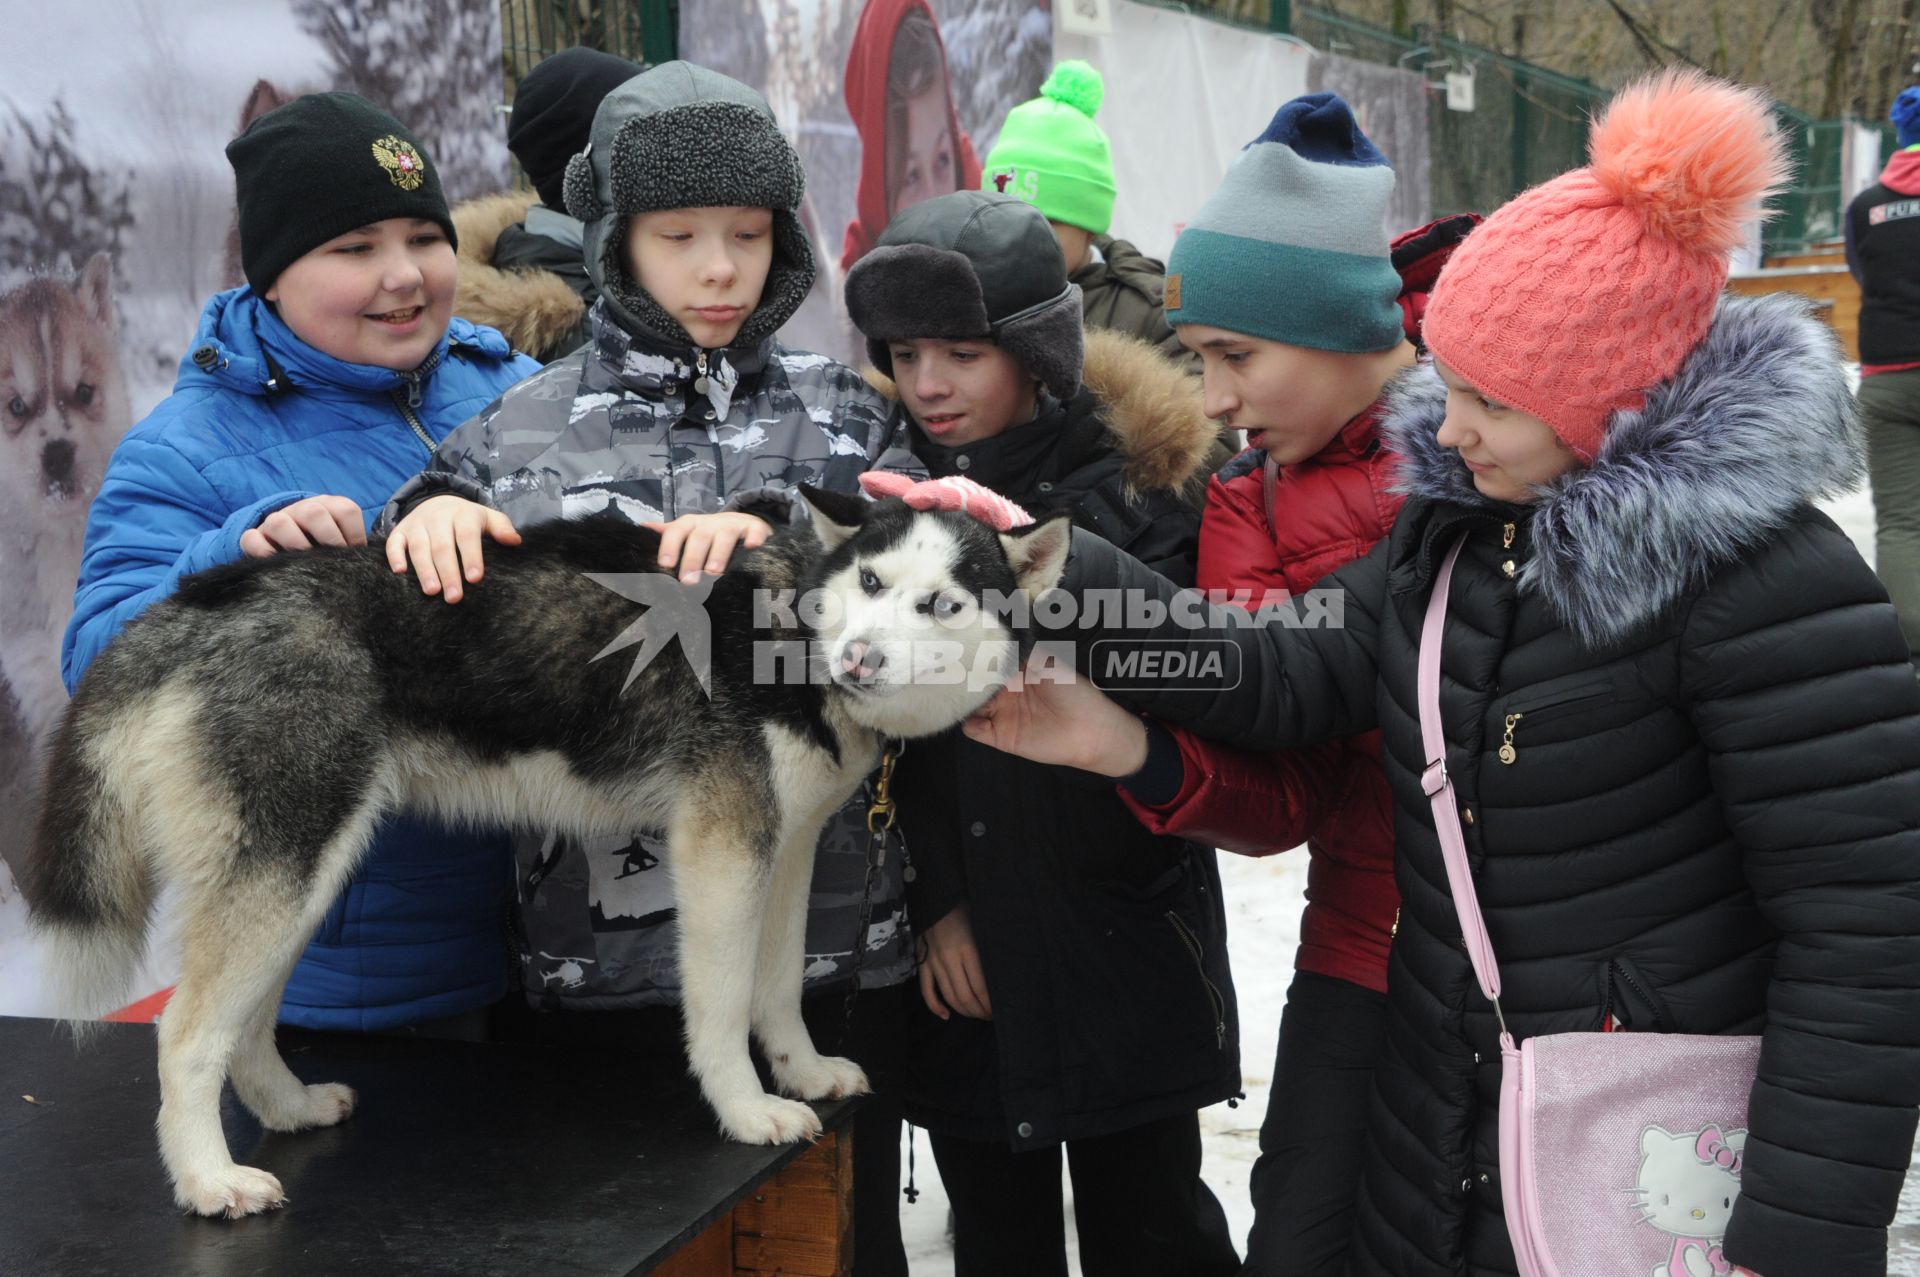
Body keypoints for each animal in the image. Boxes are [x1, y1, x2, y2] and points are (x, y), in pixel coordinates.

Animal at [26, 485, 1067, 1213]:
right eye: (872, 585)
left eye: (940, 603)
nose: (859, 659)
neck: (789, 634)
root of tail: (194, 601)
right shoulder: (722, 850)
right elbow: (723, 1004)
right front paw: (745, 1110)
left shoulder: (788, 848)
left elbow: (776, 989)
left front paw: (803, 1071)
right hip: (288, 868)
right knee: (185, 1034)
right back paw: (210, 1178)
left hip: (304, 878)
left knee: (242, 1025)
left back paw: (286, 1108)